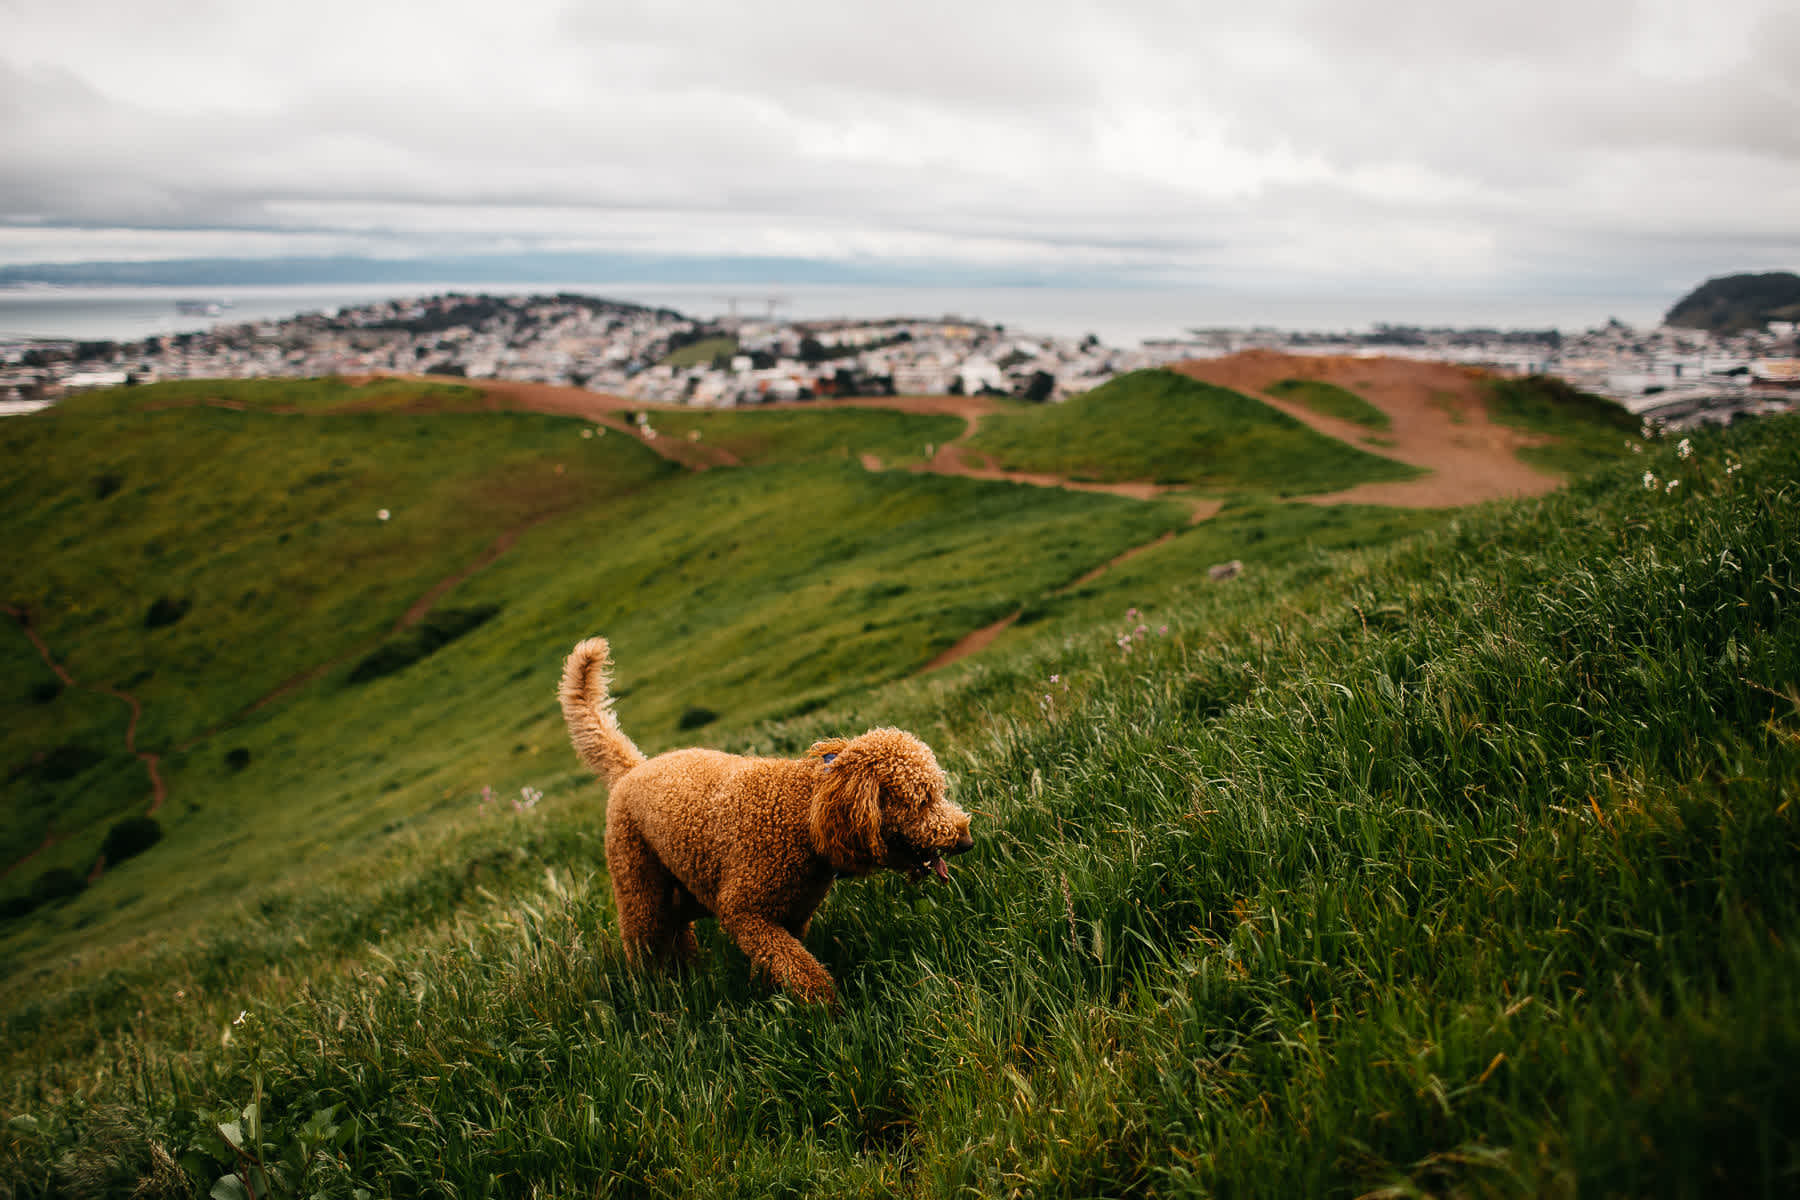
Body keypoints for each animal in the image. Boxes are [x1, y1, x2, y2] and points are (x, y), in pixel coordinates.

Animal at [558, 636, 972, 1007]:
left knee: (679, 935)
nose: (966, 840)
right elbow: (801, 969)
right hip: (639, 888)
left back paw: (690, 975)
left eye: (938, 791)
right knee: (644, 947)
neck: (801, 811)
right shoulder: (745, 913)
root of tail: (631, 769)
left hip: (682, 889)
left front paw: (771, 996)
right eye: (922, 799)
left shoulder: (792, 916)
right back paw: (652, 996)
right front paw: (828, 1010)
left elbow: (783, 963)